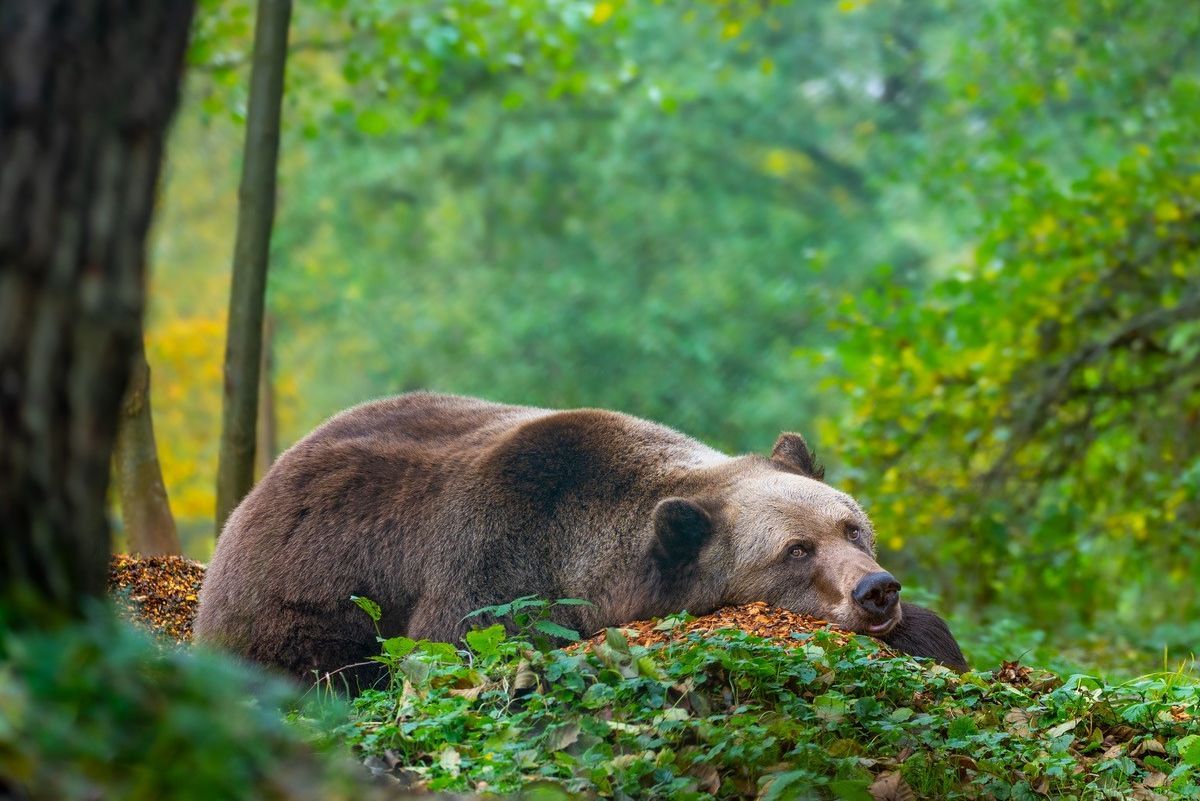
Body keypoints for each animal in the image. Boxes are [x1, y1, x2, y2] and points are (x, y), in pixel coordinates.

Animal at [196, 393, 964, 681]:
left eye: (850, 525)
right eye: (794, 552)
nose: (875, 590)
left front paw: (928, 633)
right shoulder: (493, 567)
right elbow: (456, 643)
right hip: (305, 605)